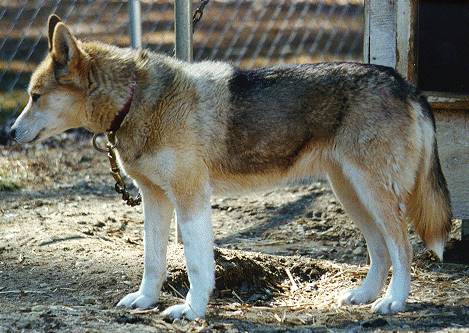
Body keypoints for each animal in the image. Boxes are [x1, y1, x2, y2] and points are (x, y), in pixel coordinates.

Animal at [10, 16, 450, 320]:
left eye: (35, 96)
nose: (8, 132)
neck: (135, 100)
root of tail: (405, 84)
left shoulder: (190, 198)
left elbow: (196, 264)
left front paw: (191, 311)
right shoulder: (155, 200)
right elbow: (153, 262)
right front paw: (146, 301)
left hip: (372, 194)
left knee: (403, 247)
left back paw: (394, 301)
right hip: (352, 194)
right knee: (380, 250)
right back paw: (364, 296)